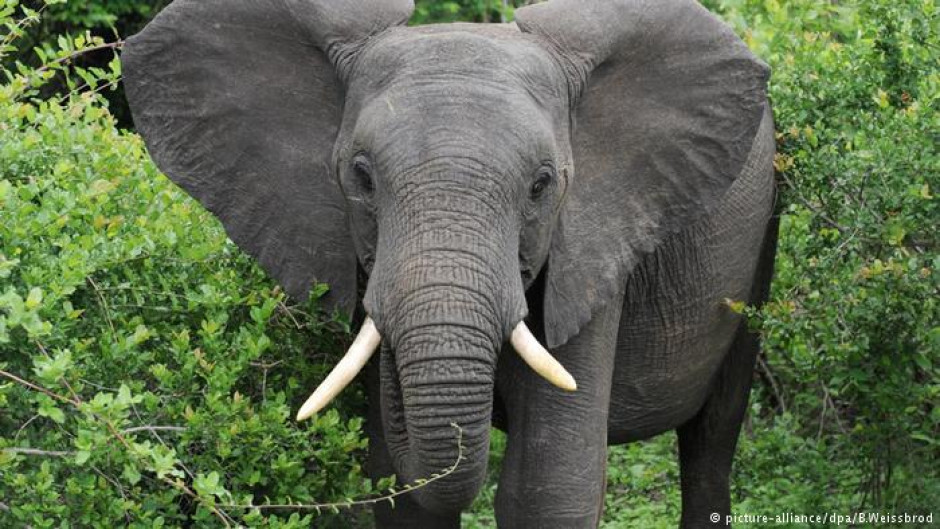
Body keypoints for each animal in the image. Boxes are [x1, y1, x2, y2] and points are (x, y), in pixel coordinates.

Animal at [121, 0, 777, 526]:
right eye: (361, 177)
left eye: (542, 186)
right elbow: (403, 494)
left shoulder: (592, 244)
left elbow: (547, 489)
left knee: (711, 444)